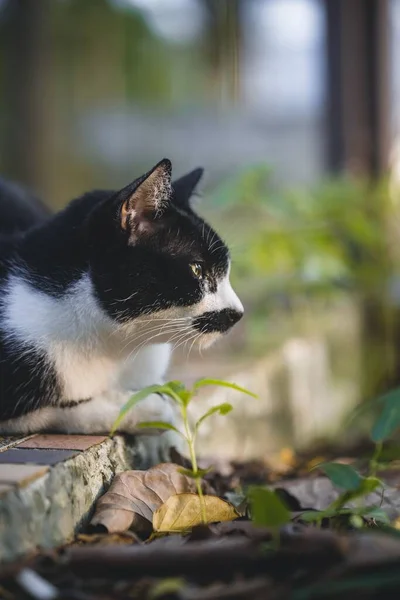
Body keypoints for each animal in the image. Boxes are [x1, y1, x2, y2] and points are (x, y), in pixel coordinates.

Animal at [0, 157, 244, 448]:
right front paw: (143, 409)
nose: (238, 313)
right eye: (197, 269)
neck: (115, 349)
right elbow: (48, 411)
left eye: (226, 270)